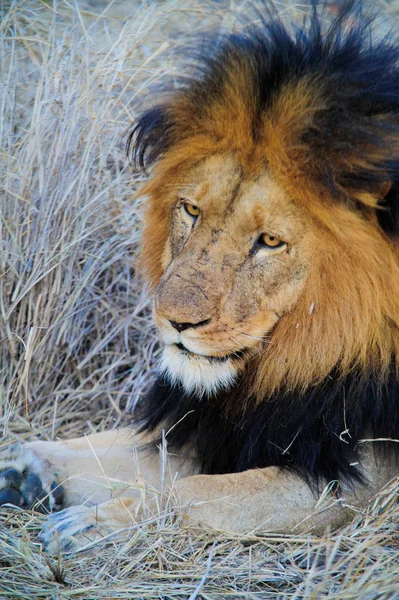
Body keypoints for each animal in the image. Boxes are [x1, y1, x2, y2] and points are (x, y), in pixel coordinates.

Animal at [0, 1, 399, 552]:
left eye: (269, 241)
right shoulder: (205, 425)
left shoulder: (353, 480)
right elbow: (113, 449)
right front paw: (26, 468)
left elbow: (195, 492)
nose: (175, 322)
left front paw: (94, 523)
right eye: (190, 209)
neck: (293, 362)